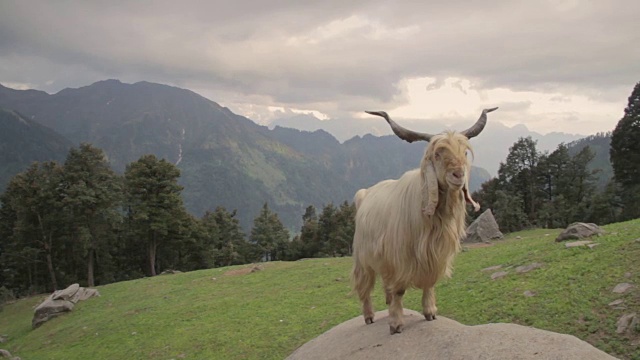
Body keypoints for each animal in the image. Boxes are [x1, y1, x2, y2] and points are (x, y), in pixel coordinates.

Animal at [350, 107, 496, 334]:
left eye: (464, 152)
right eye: (437, 154)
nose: (458, 175)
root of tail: (364, 194)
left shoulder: (433, 256)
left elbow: (429, 283)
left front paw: (430, 312)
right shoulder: (400, 258)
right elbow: (399, 290)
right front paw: (396, 324)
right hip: (362, 258)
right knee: (365, 287)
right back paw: (369, 316)